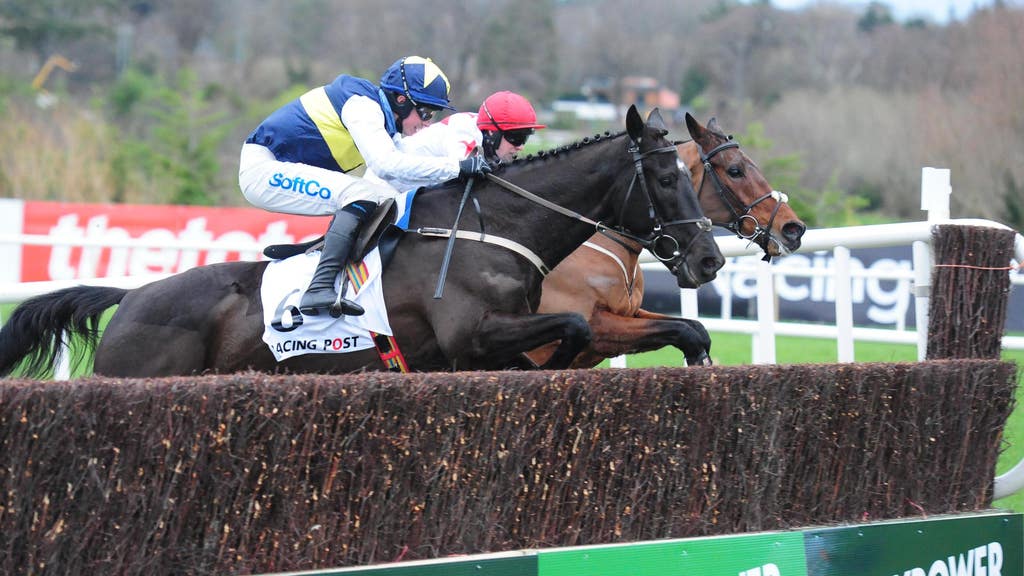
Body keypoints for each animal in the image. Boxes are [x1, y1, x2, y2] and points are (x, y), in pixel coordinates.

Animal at [0, 105, 724, 377]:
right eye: (666, 178)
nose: (709, 258)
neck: (492, 229)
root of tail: (131, 296)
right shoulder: (473, 334)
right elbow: (571, 328)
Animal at [528, 111, 806, 366]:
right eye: (735, 170)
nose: (793, 228)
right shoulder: (592, 326)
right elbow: (684, 331)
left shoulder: (631, 313)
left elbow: (695, 328)